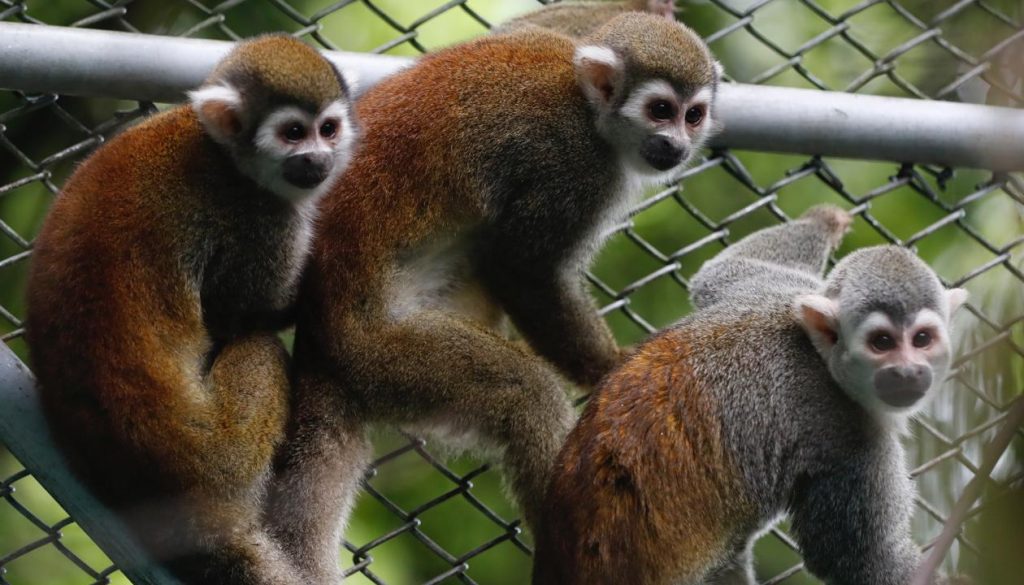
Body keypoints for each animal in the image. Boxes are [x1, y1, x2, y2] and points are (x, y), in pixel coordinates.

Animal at [25, 35, 356, 584]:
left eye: (327, 130)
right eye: (293, 133)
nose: (318, 160)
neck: (223, 152)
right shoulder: (255, 214)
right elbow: (246, 313)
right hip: (227, 459)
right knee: (259, 347)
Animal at [263, 13, 721, 584]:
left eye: (693, 115)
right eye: (661, 110)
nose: (677, 143)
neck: (590, 111)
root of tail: (318, 338)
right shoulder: (572, 166)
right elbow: (522, 268)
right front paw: (612, 368)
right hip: (380, 356)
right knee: (525, 393)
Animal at [533, 205, 969, 585]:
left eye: (922, 339)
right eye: (882, 343)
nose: (908, 372)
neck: (823, 361)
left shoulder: (767, 294)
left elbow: (719, 273)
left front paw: (823, 220)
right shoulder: (847, 437)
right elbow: (857, 561)